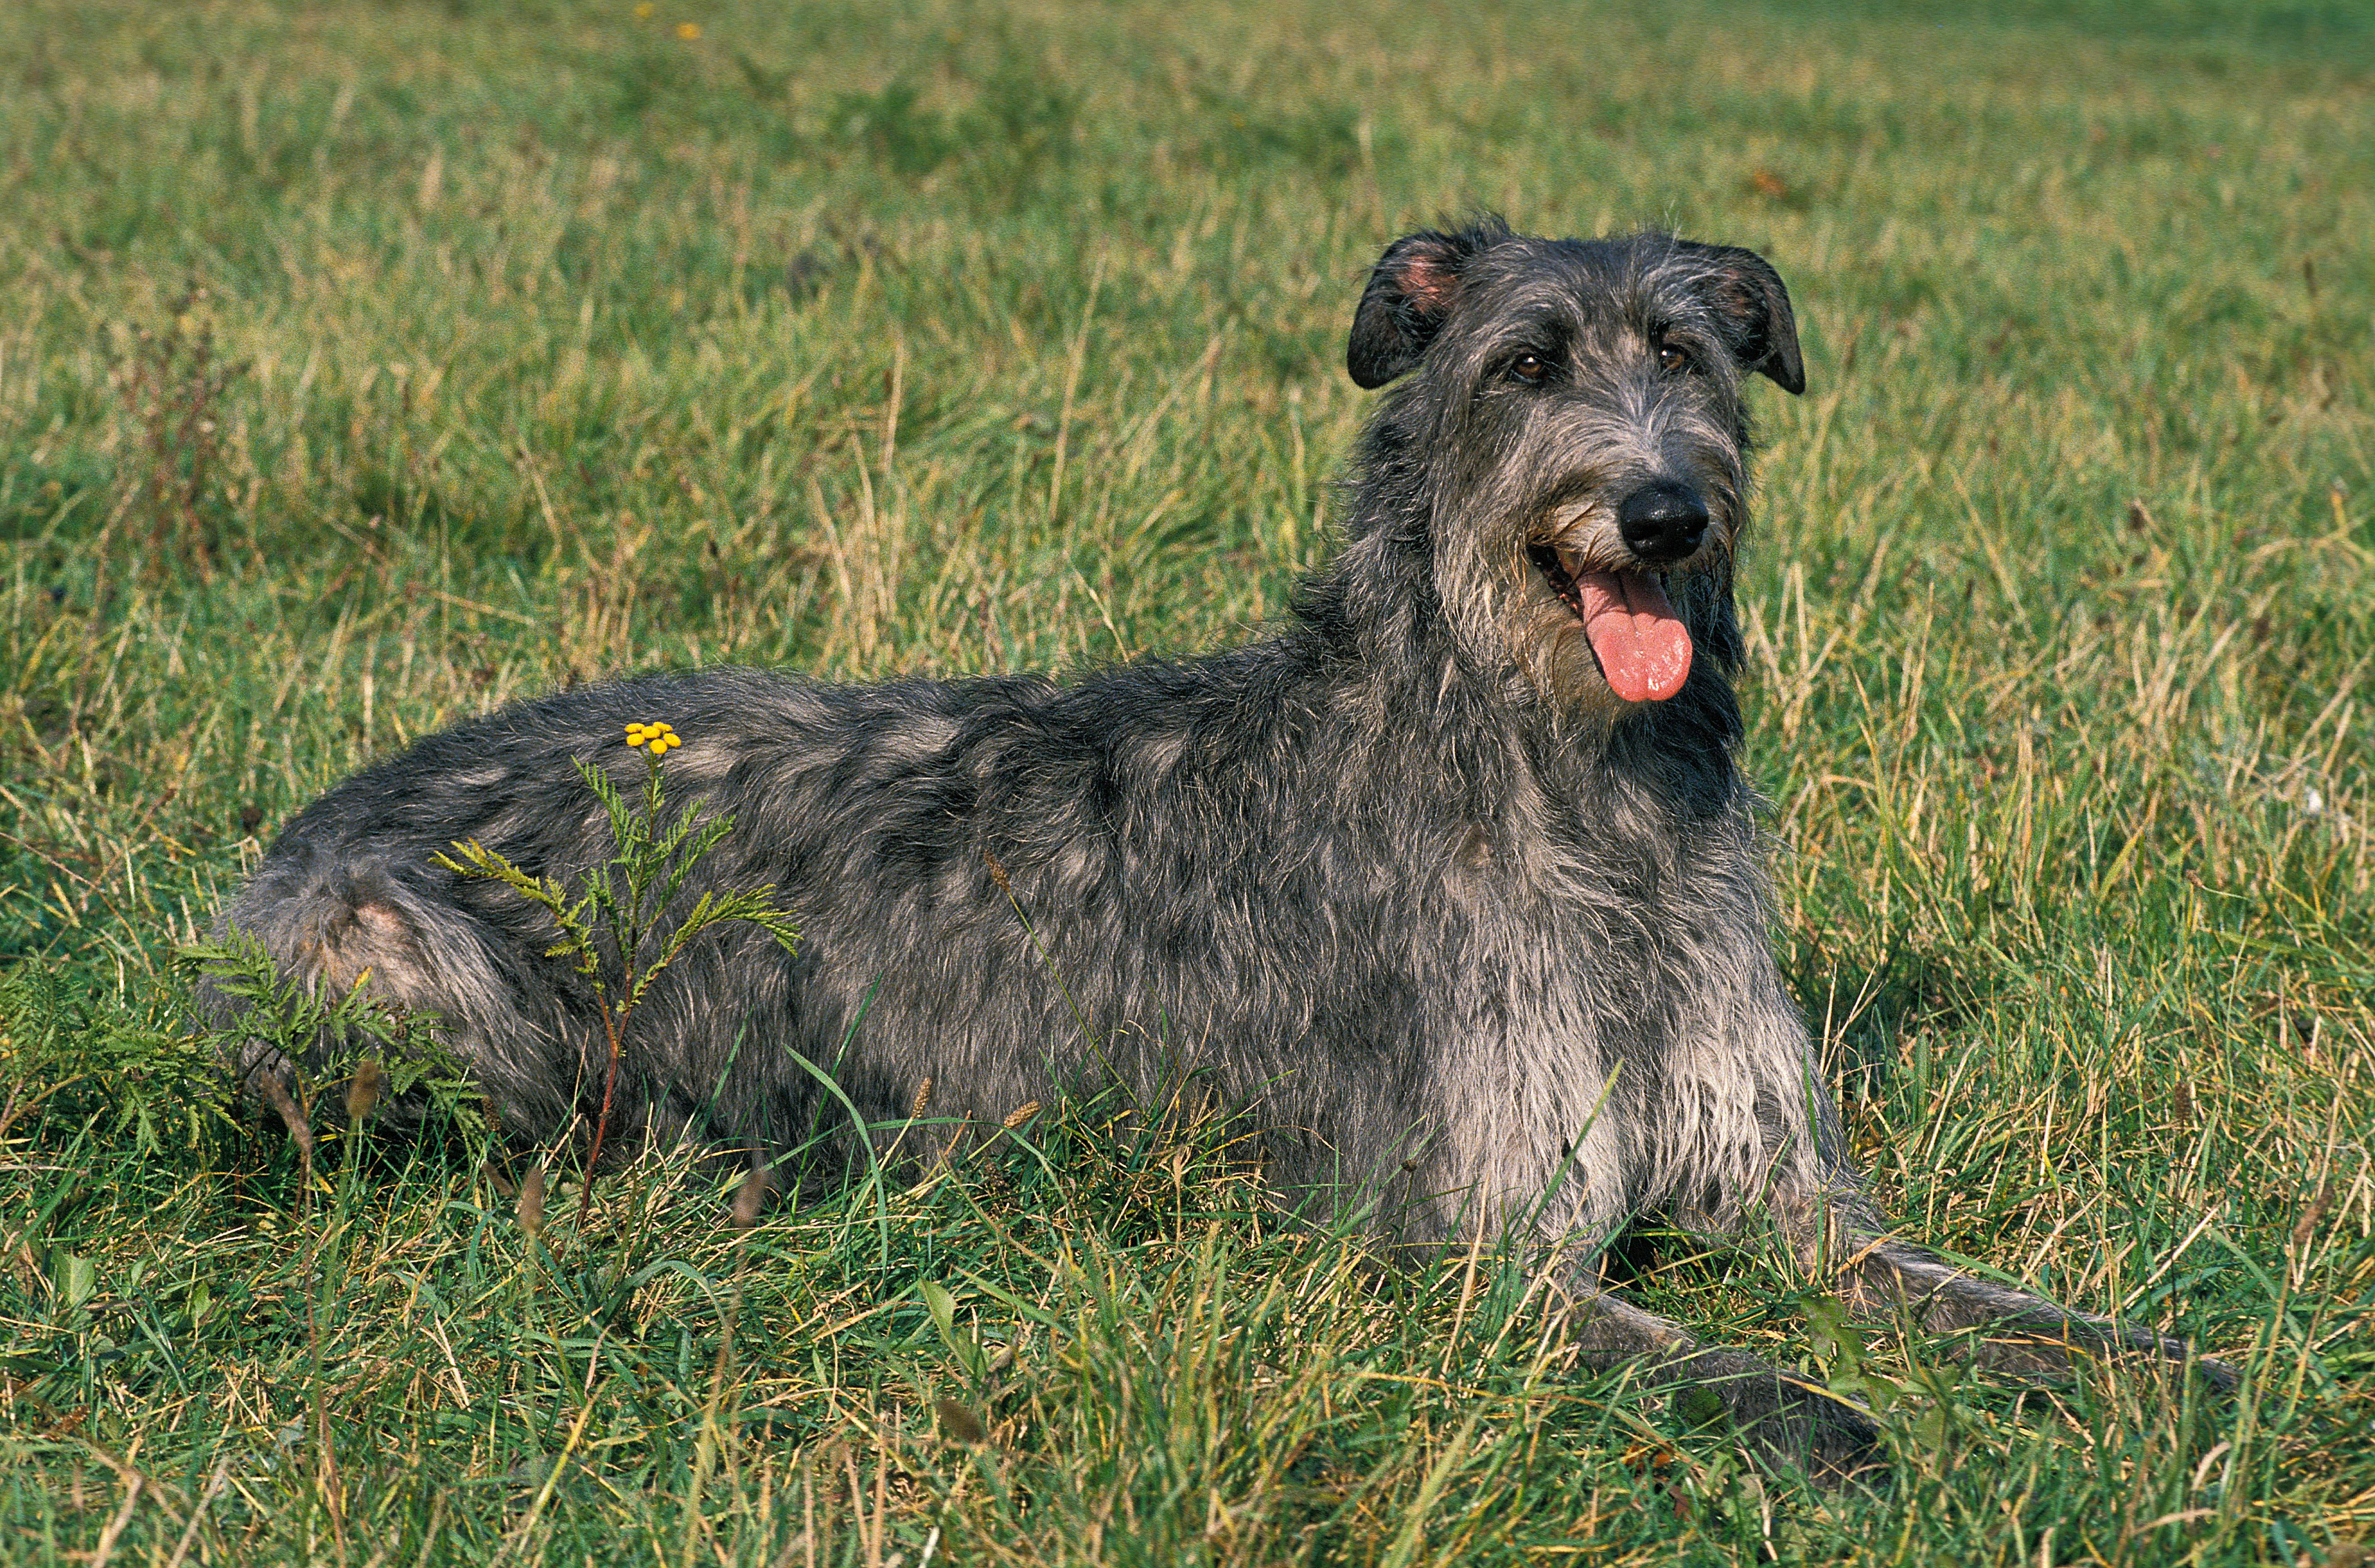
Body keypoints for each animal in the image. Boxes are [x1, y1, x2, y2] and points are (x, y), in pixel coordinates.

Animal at [213, 217, 2232, 1473]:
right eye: (1520, 365)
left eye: (1689, 352)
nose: (1658, 511)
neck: (1565, 787)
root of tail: (315, 815)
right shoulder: (1459, 1244)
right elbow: (1746, 1378)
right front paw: (1842, 1427)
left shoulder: (1792, 1194)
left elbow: (1978, 1296)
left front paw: (2187, 1368)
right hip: (401, 957)